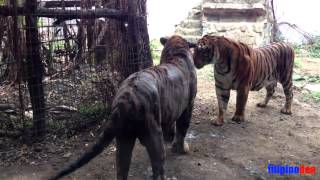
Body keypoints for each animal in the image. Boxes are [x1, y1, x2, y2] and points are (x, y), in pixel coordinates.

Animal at [48, 35, 196, 180]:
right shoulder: (188, 106)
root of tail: (124, 99)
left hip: (124, 139)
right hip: (153, 136)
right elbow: (182, 129)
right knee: (158, 168)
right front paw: (181, 149)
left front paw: (171, 140)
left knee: (121, 170)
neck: (176, 54)